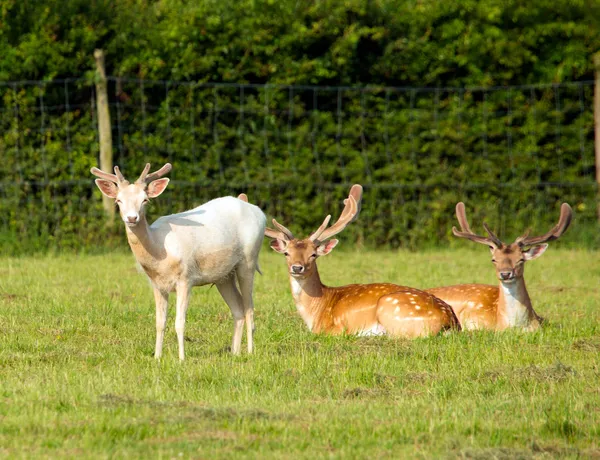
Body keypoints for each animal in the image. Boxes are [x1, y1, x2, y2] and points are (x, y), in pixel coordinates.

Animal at [91, 164, 264, 362]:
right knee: (238, 310)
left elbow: (179, 323)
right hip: (224, 275)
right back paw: (234, 353)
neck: (161, 252)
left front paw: (181, 359)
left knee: (249, 308)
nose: (132, 218)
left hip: (249, 259)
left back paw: (250, 352)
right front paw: (157, 357)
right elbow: (160, 323)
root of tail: (260, 212)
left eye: (145, 200)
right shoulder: (157, 285)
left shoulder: (186, 279)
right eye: (118, 200)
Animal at [264, 184, 462, 338]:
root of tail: (450, 320)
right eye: (286, 253)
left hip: (390, 308)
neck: (316, 311)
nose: (297, 268)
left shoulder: (334, 329)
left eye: (313, 254)